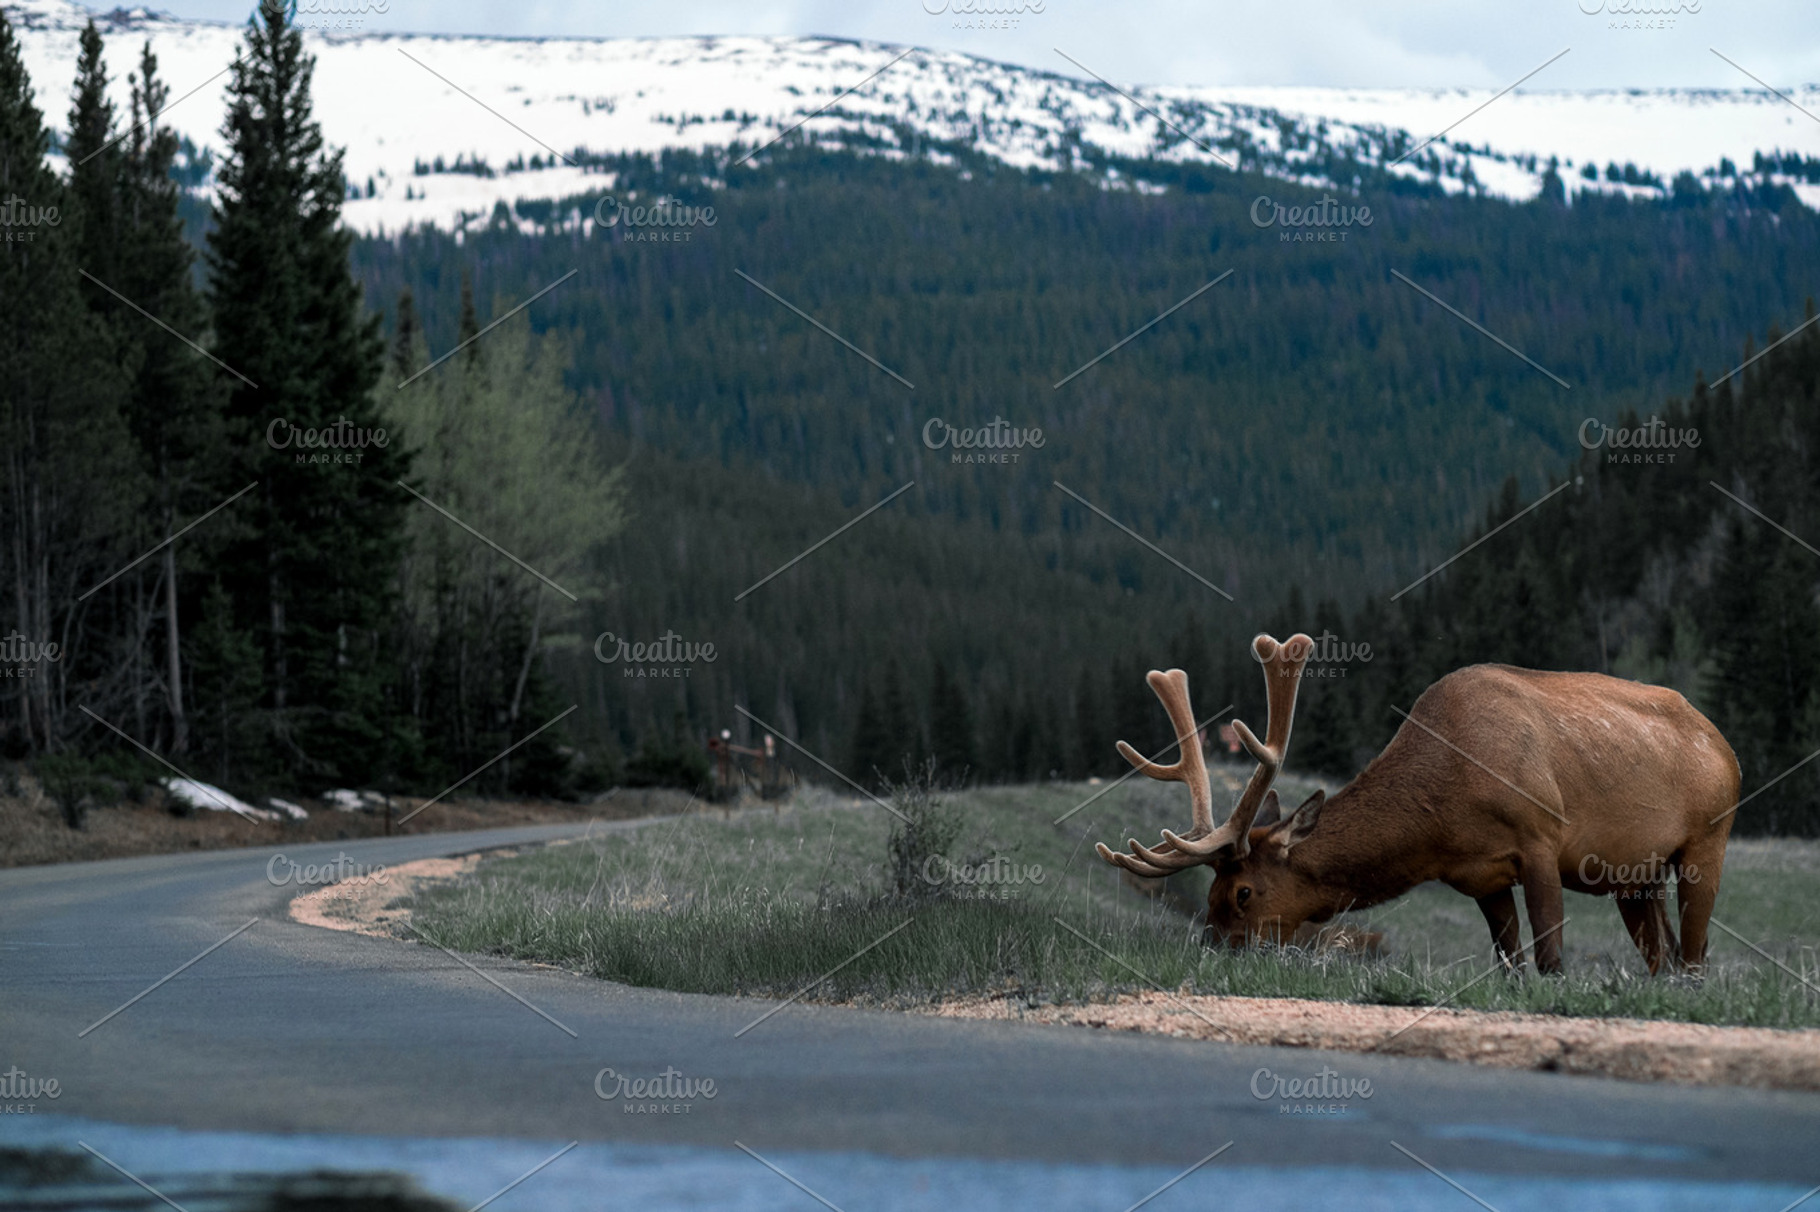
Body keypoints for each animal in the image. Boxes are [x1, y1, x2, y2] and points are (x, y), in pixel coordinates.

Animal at [1096, 634, 1741, 974]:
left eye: (1243, 893)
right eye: (1208, 895)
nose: (1211, 952)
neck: (1443, 818)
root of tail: (1725, 747)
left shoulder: (1541, 838)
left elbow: (1551, 959)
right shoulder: (1480, 876)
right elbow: (1510, 962)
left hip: (1709, 839)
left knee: (1694, 957)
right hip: (1637, 878)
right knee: (1664, 956)